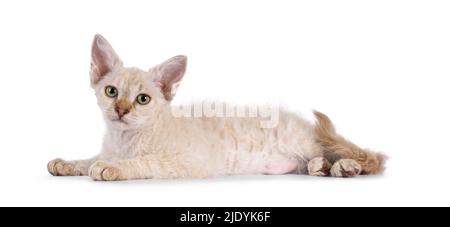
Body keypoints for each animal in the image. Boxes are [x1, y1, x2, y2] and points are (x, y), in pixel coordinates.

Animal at [46, 34, 386, 181]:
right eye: (111, 91)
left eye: (143, 99)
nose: (121, 110)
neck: (124, 139)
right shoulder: (109, 148)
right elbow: (89, 159)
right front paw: (67, 163)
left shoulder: (187, 161)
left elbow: (145, 162)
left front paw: (114, 168)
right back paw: (321, 167)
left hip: (312, 142)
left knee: (368, 159)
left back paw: (345, 167)